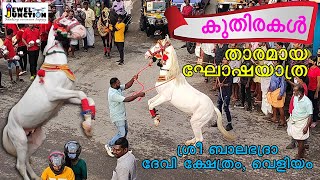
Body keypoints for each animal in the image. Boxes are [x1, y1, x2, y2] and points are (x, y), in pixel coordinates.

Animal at [2, 16, 95, 180]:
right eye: (64, 21)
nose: (82, 30)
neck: (56, 65)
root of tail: (8, 125)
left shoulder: (65, 98)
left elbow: (87, 99)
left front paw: (88, 126)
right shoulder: (56, 94)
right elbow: (82, 94)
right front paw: (87, 126)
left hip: (34, 140)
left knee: (26, 159)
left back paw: (35, 176)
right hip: (20, 140)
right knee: (20, 165)